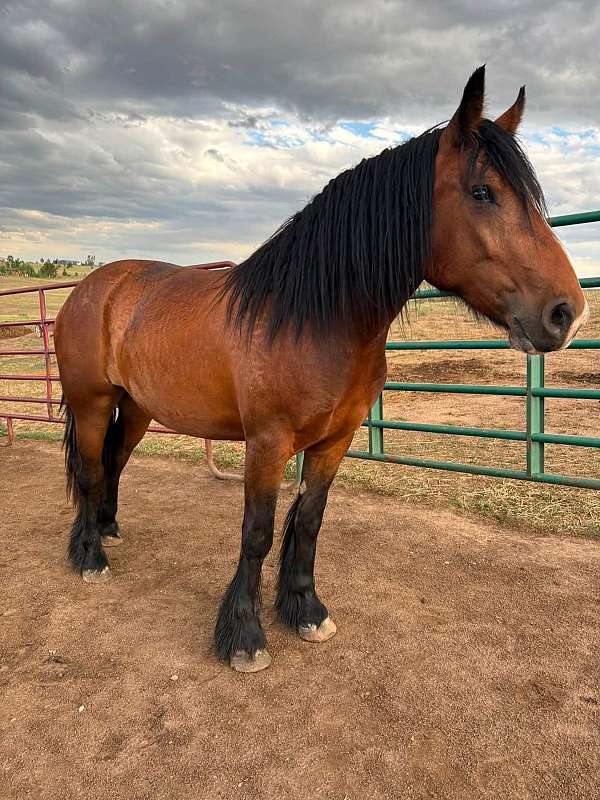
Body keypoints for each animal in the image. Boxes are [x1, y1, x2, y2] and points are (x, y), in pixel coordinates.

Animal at [54, 67, 588, 672]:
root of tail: (93, 288)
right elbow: (257, 532)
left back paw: (108, 530)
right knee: (91, 469)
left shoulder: (335, 440)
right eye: (482, 192)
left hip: (138, 407)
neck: (312, 318)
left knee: (115, 462)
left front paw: (306, 610)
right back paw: (89, 556)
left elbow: (309, 520)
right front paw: (245, 636)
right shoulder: (267, 443)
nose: (567, 313)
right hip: (92, 404)